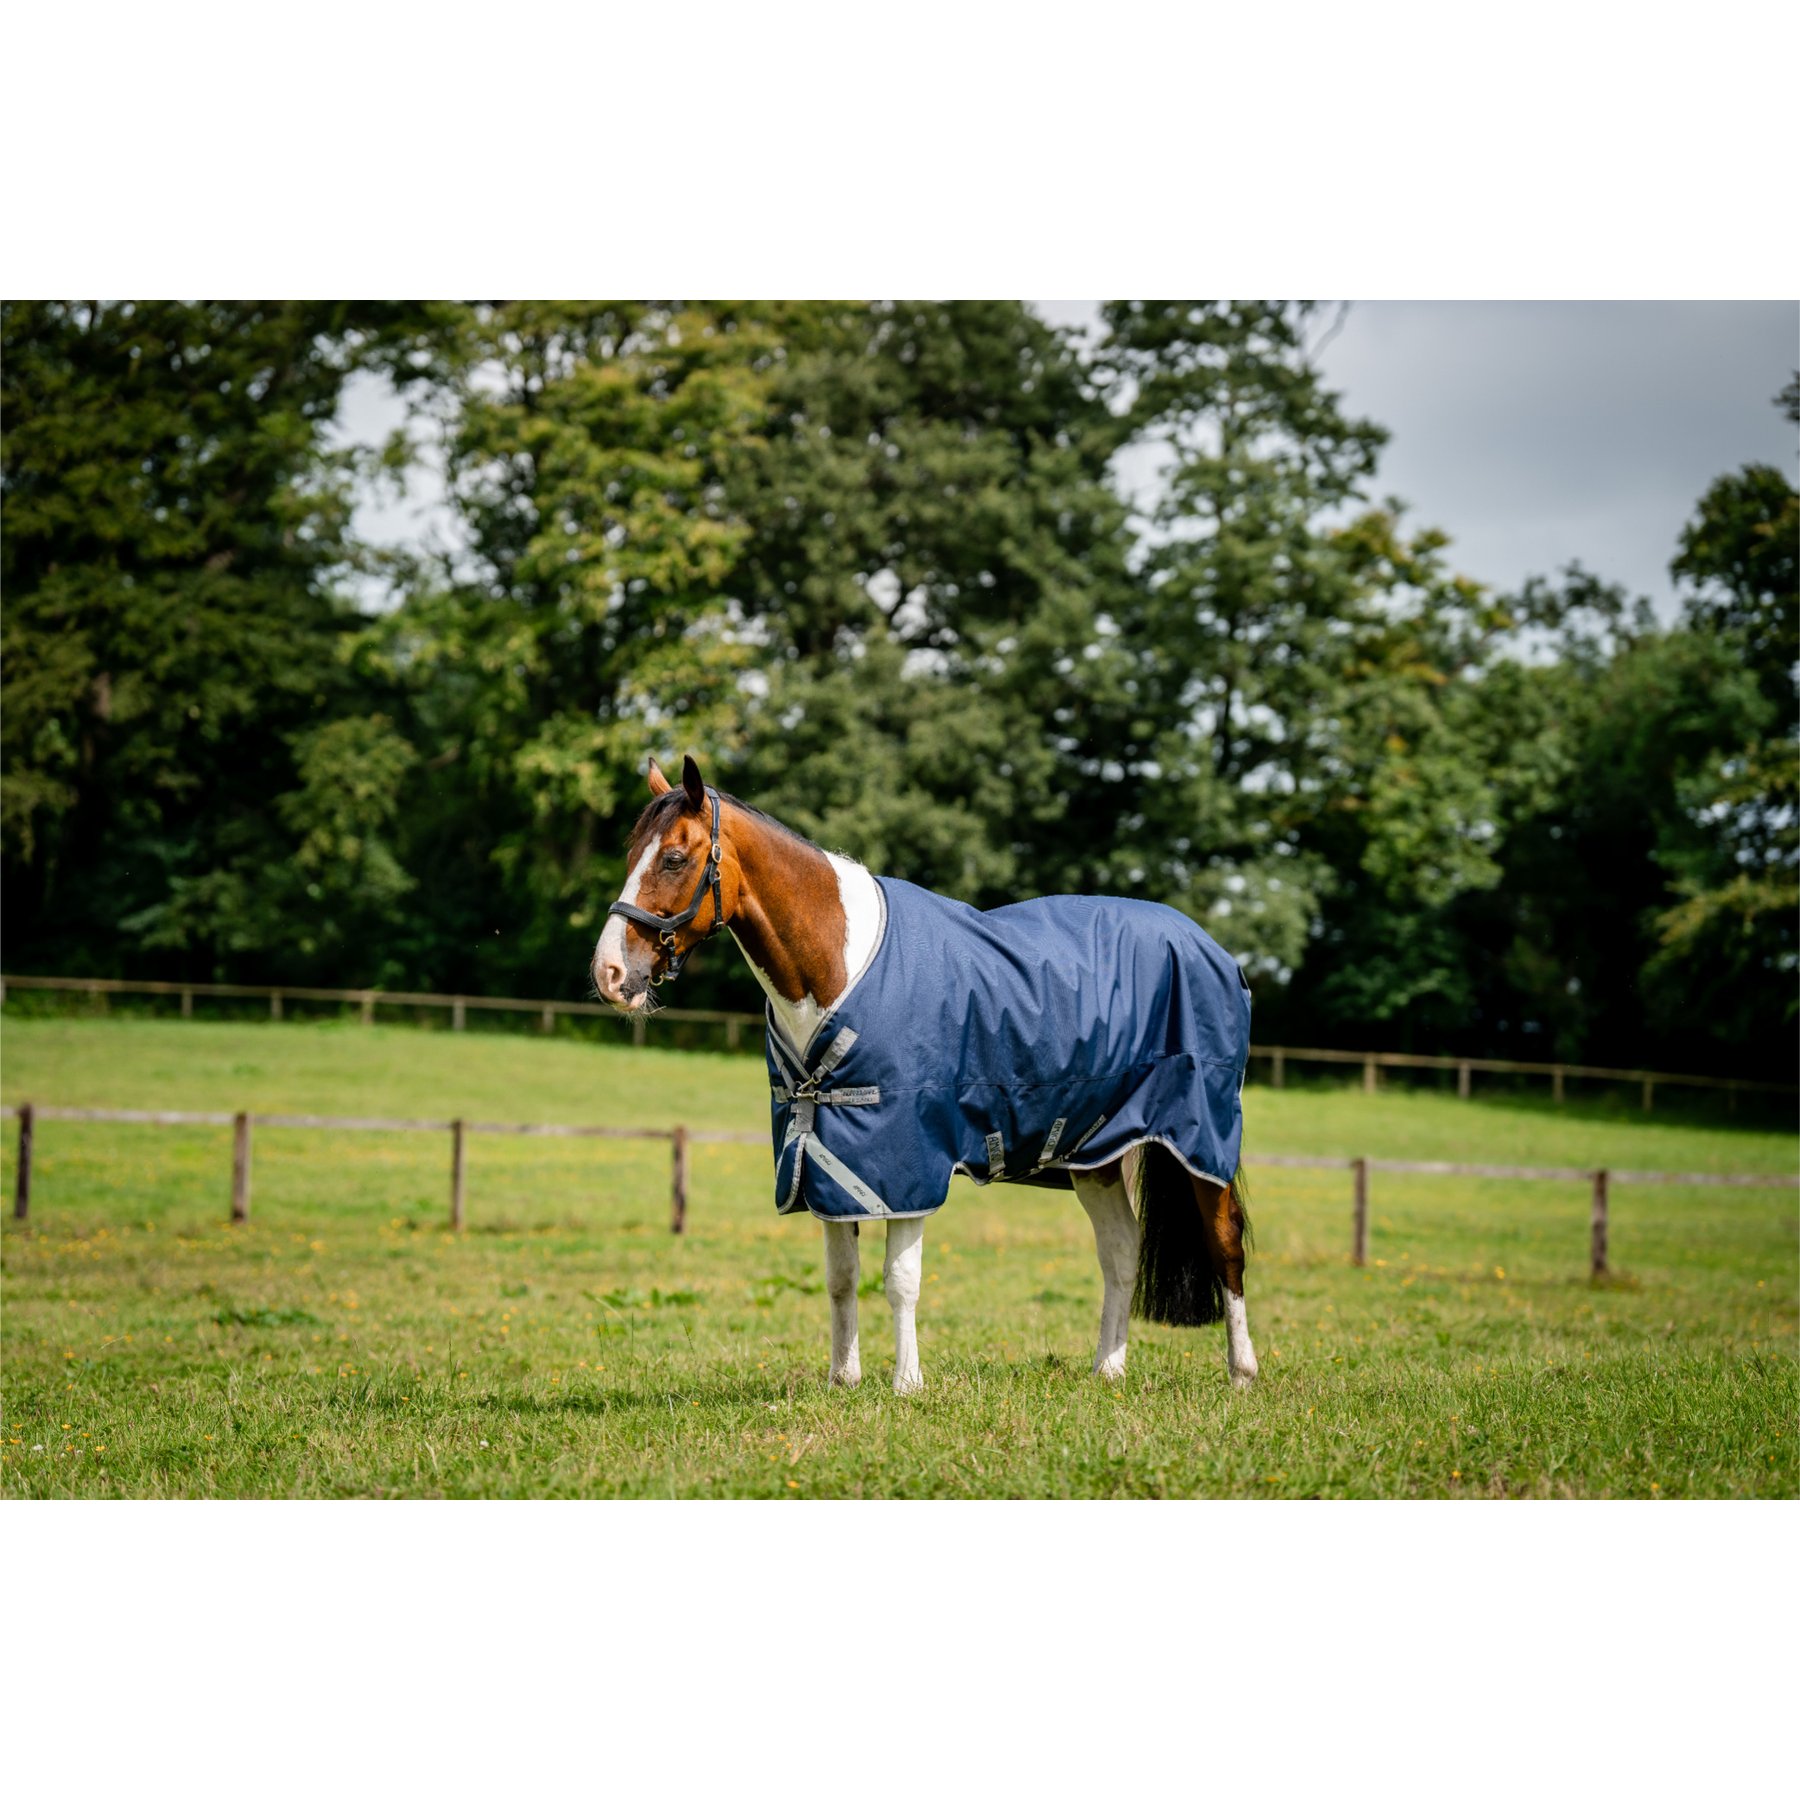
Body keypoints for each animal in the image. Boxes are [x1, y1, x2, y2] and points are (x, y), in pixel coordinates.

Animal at [591, 754, 1260, 1394]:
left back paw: (1241, 1372)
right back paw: (1108, 1370)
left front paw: (907, 1383)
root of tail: (1212, 949)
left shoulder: (905, 1163)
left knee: (1224, 1243)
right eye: (629, 854)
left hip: (1199, 1138)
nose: (609, 974)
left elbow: (900, 1278)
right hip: (1094, 1151)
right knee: (1121, 1252)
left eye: (674, 858)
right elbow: (841, 1277)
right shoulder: (829, 1161)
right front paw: (843, 1379)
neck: (838, 965)